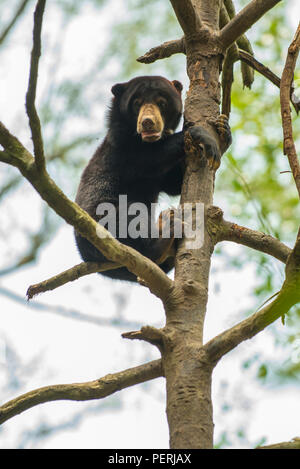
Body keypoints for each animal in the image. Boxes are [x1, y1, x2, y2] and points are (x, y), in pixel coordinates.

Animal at [74, 76, 231, 282]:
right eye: (136, 103)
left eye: (162, 103)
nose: (148, 122)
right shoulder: (123, 150)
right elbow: (150, 158)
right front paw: (202, 136)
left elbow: (174, 183)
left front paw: (223, 130)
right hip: (102, 215)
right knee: (129, 220)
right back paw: (167, 230)